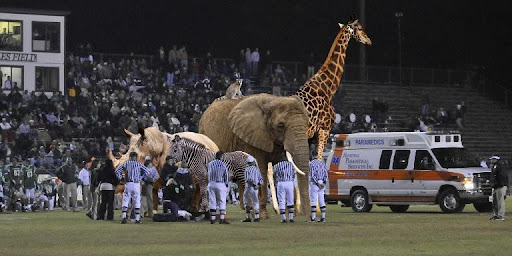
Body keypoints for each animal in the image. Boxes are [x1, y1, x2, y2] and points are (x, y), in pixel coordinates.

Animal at [296, 18, 372, 159]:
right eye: (359, 28)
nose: (369, 40)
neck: (328, 89)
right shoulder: (324, 129)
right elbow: (319, 159)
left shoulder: (312, 136)